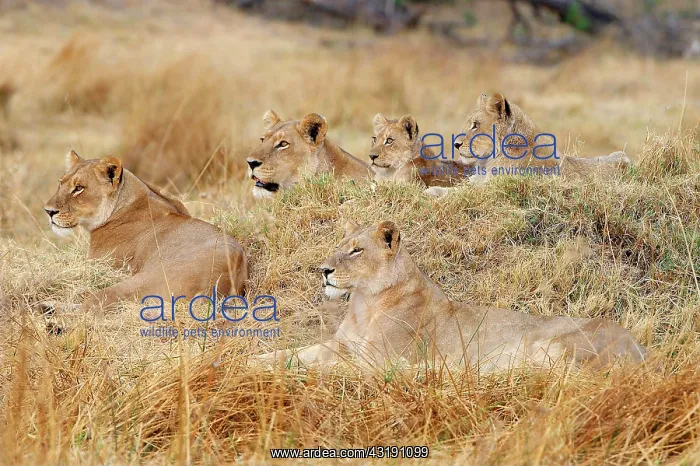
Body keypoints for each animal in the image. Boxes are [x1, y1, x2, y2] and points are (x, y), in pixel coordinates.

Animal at [44, 151, 248, 311]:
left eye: (79, 188)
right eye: (61, 183)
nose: (48, 211)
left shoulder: (102, 264)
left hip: (137, 281)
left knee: (92, 307)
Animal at [251, 221, 646, 372]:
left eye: (356, 250)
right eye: (339, 246)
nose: (324, 270)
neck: (363, 303)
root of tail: (643, 349)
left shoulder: (377, 358)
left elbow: (331, 368)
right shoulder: (340, 345)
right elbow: (290, 352)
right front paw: (252, 361)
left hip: (551, 346)